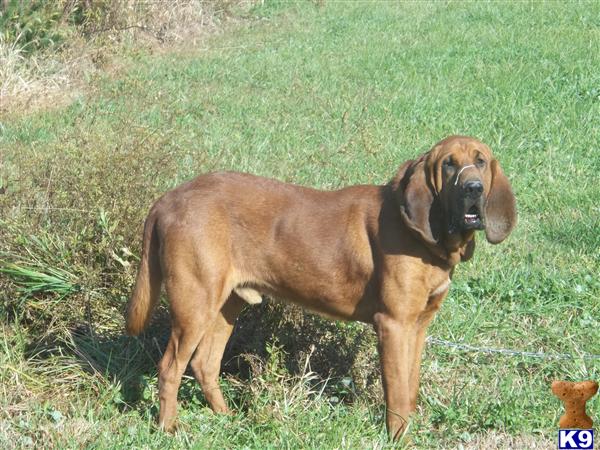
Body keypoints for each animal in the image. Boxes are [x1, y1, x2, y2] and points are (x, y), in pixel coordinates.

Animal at [125, 134, 516, 440]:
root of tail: (168, 199)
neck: (428, 239)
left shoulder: (417, 326)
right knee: (169, 367)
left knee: (205, 364)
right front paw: (399, 439)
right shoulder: (393, 325)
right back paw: (168, 428)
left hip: (226, 305)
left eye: (480, 161)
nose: (473, 189)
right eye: (449, 165)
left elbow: (410, 388)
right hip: (195, 306)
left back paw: (226, 418)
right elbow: (396, 394)